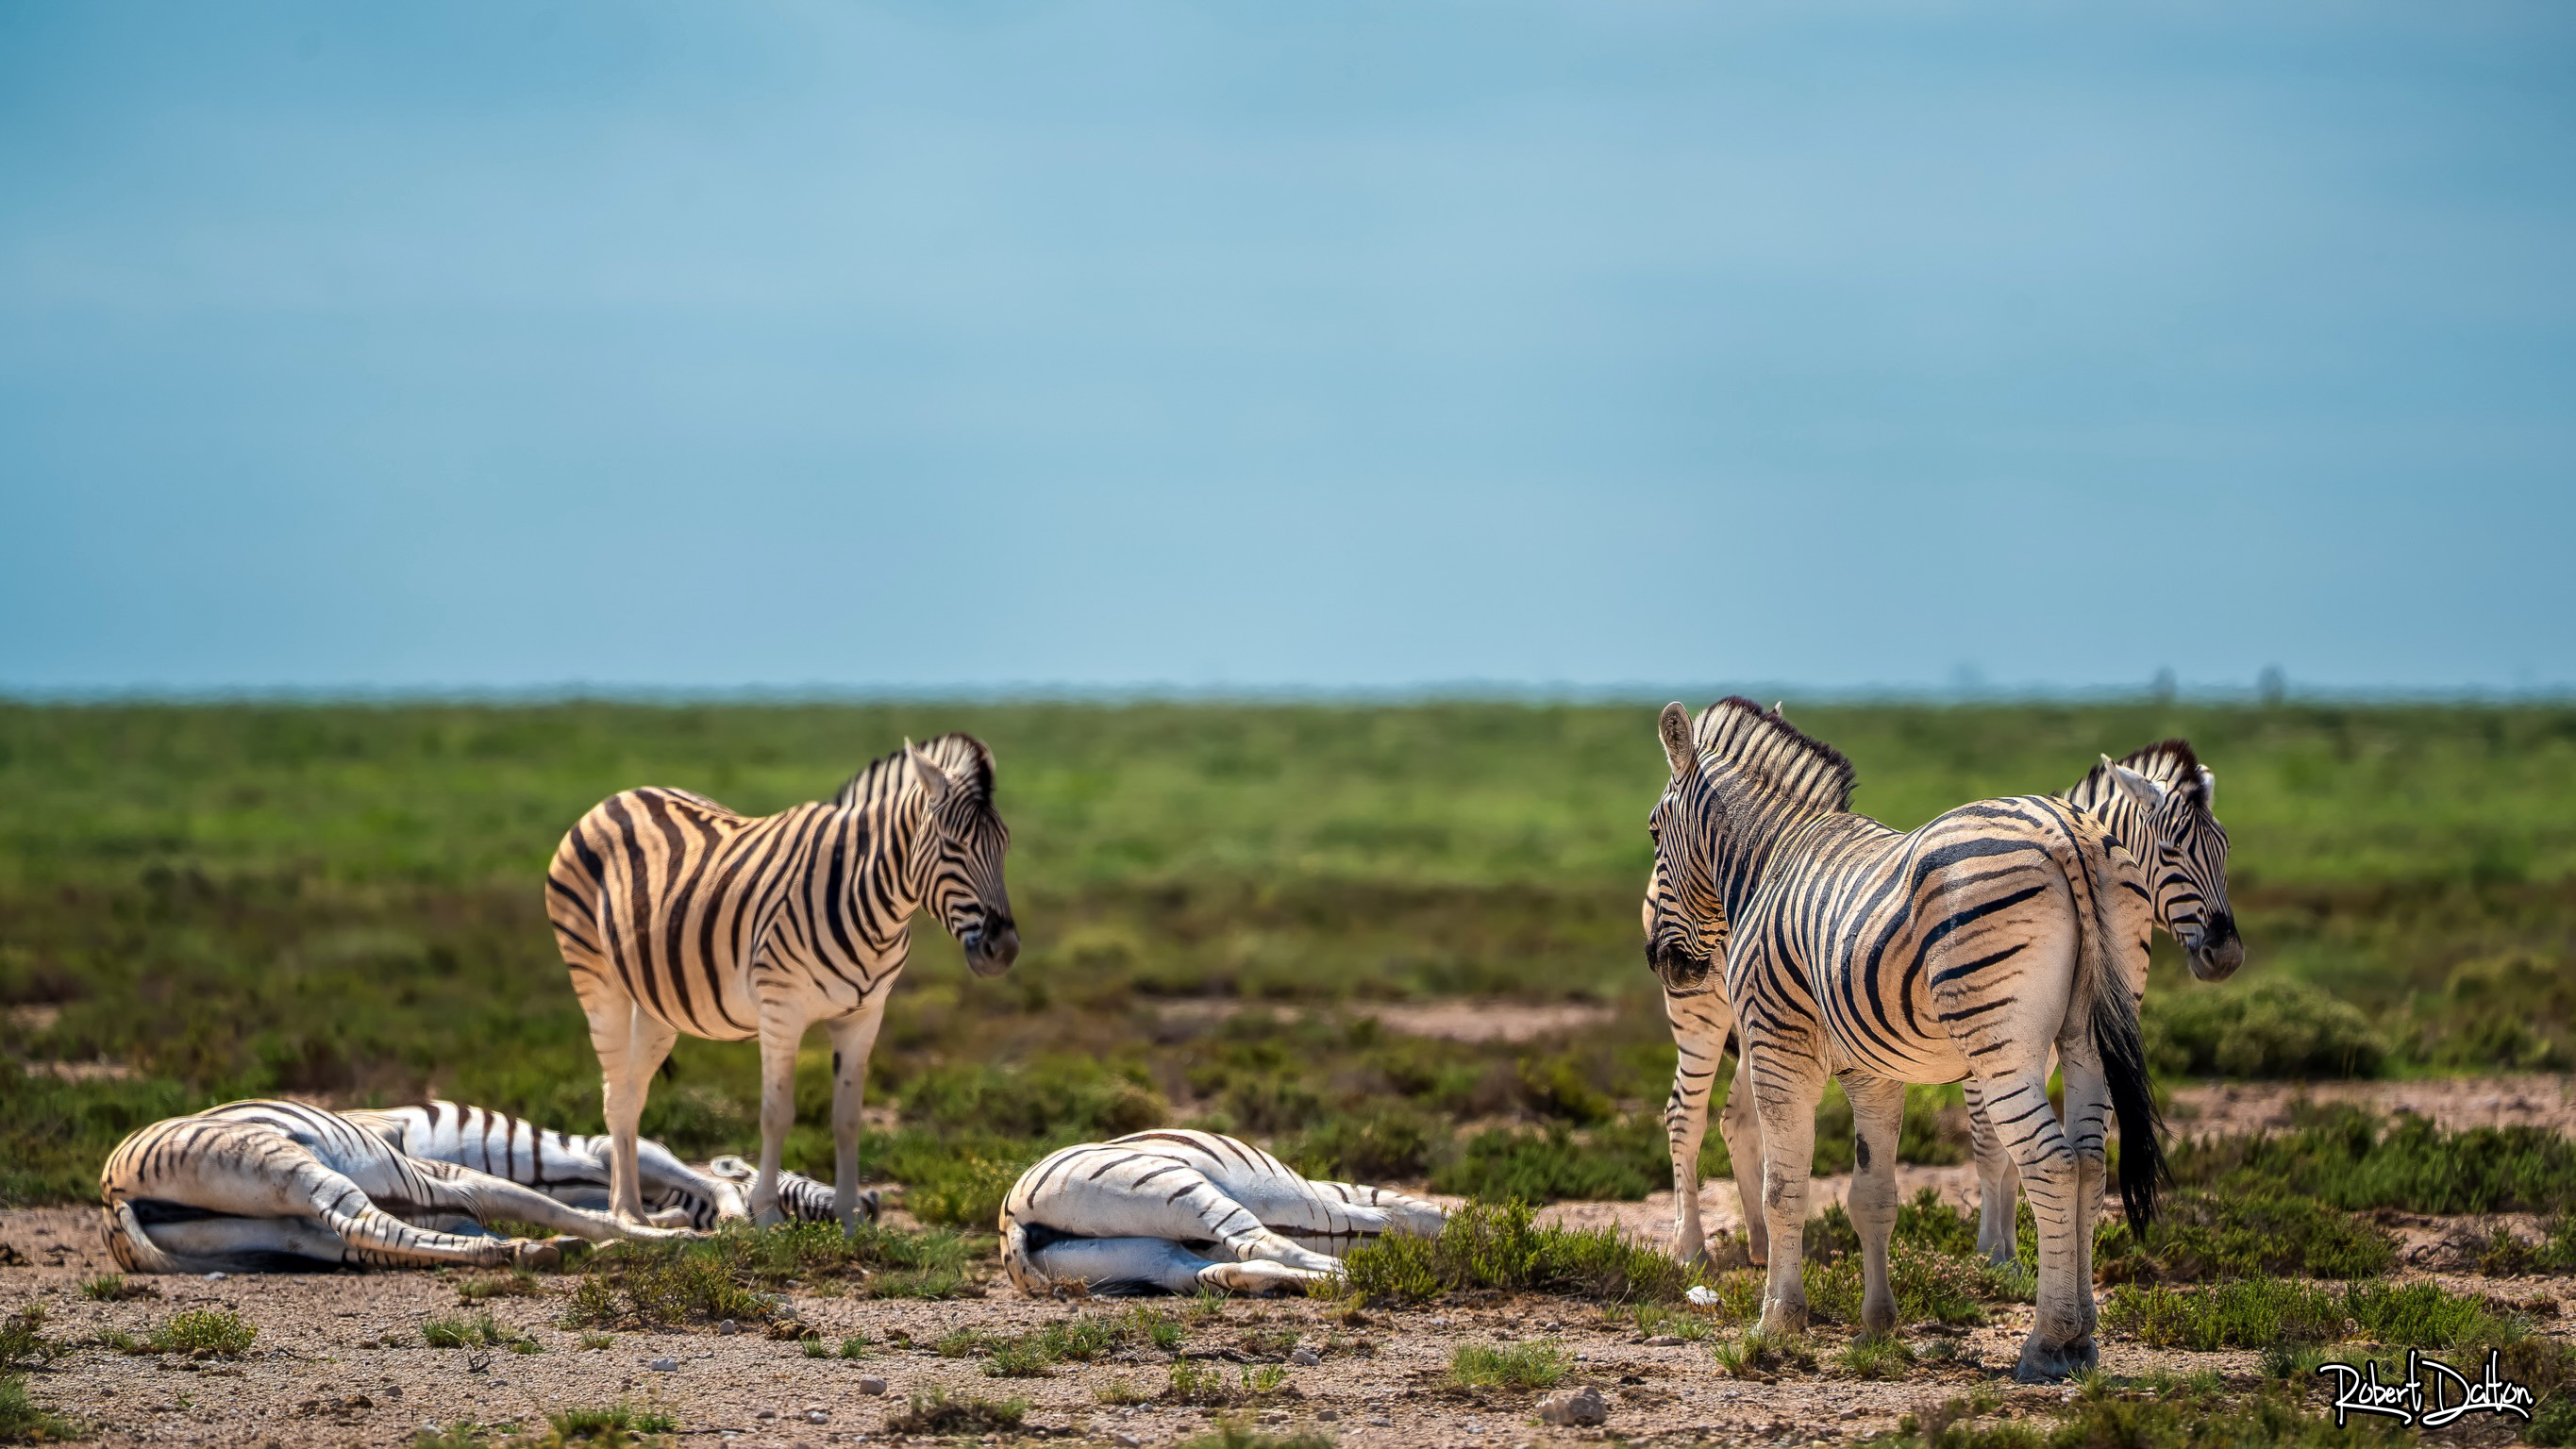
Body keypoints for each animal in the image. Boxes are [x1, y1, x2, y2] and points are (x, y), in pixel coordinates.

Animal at [98, 1098, 682, 1274]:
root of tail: (113, 1195)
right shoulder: (450, 1182)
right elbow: (567, 1209)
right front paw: (669, 1234)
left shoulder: (445, 1199)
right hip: (292, 1169)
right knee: (365, 1224)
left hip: (278, 1234)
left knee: (370, 1242)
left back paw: (524, 1252)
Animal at [547, 733, 1017, 1235]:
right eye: (951, 845)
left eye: (1005, 845)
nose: (1003, 949)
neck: (870, 899)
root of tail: (617, 797)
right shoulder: (781, 1009)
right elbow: (776, 1113)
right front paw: (769, 1216)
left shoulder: (864, 1017)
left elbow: (848, 1119)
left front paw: (850, 1219)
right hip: (597, 980)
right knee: (616, 1095)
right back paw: (625, 1214)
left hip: (656, 1004)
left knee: (632, 1094)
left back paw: (633, 1209)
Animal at [999, 1130, 1447, 1296]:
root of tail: (1011, 1220)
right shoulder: (1350, 1197)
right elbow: (1417, 1215)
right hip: (1180, 1188)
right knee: (1262, 1245)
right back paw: (1369, 1274)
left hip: (1147, 1259)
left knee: (1224, 1271)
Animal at [1644, 698, 2159, 1381]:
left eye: (1655, 832)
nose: (1664, 962)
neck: (1768, 858)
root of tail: (2064, 833)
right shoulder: (1874, 1071)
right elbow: (1874, 1196)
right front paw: (1877, 1326)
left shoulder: (1780, 1049)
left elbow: (1785, 1190)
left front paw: (1778, 1322)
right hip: (2089, 1038)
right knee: (2092, 1164)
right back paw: (2082, 1337)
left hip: (2002, 1044)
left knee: (2053, 1163)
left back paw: (2048, 1339)